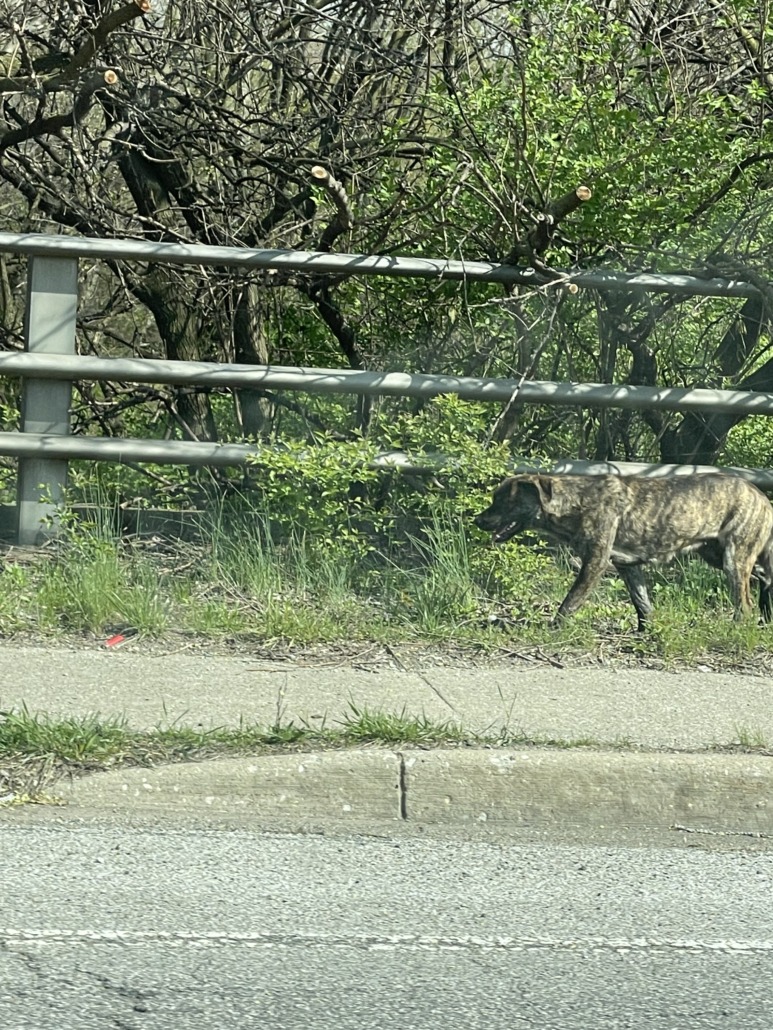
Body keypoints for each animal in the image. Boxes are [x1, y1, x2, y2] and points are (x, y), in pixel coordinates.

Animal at [474, 473, 773, 630]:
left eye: (503, 501)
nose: (477, 520)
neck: (576, 502)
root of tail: (761, 496)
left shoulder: (595, 562)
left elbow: (571, 601)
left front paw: (555, 629)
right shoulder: (628, 566)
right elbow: (642, 603)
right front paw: (647, 633)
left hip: (734, 559)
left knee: (744, 604)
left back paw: (738, 628)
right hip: (718, 556)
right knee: (765, 578)